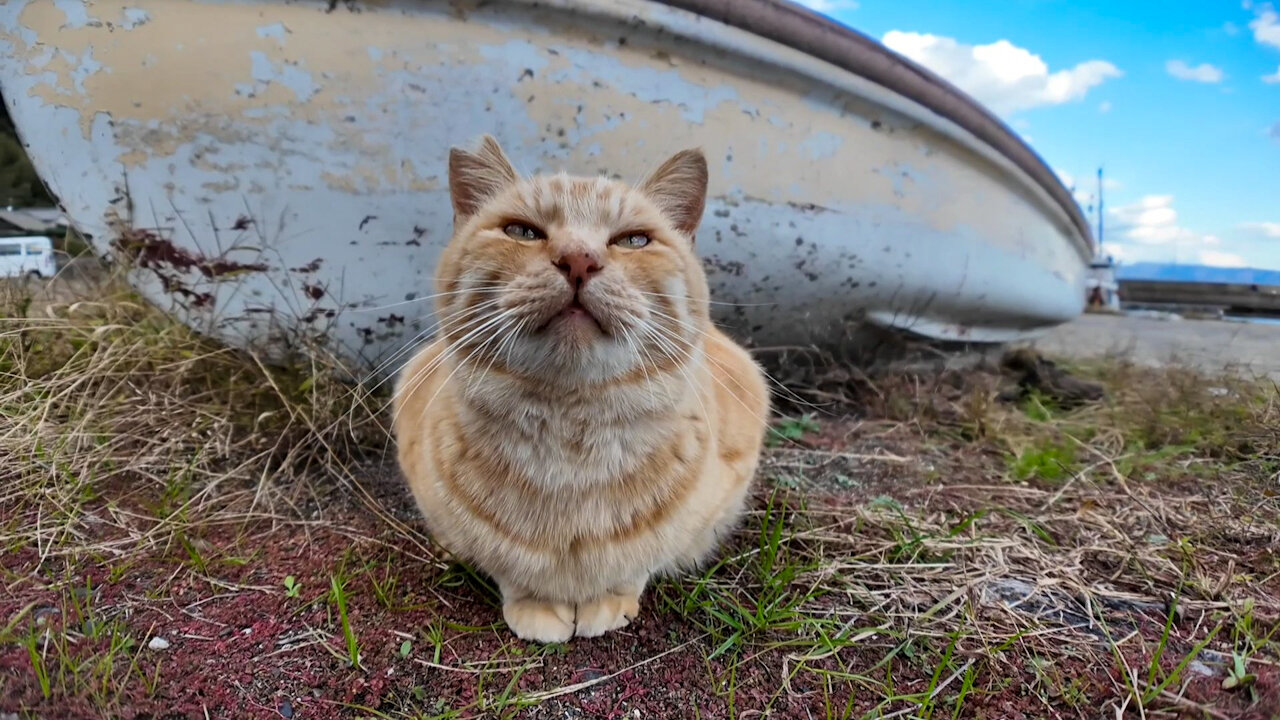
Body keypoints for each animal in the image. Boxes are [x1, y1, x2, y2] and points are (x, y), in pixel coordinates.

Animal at [389, 134, 768, 638]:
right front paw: (536, 607)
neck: (569, 441)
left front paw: (607, 603)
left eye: (633, 240)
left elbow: (636, 564)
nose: (578, 259)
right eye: (523, 232)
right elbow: (508, 569)